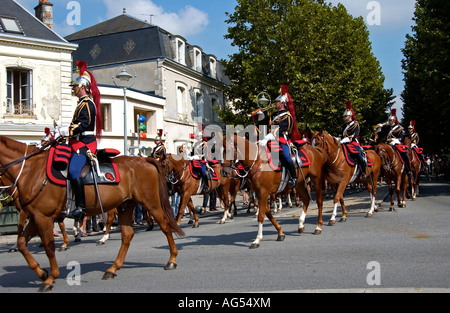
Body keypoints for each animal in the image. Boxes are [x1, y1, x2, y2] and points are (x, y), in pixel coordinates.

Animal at [0, 135, 185, 292]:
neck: (31, 171)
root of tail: (143, 159)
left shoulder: (43, 217)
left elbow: (48, 246)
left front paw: (50, 278)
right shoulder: (35, 217)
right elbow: (22, 243)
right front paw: (41, 272)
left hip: (151, 203)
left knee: (165, 226)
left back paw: (172, 260)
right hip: (125, 206)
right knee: (127, 235)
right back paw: (113, 268)